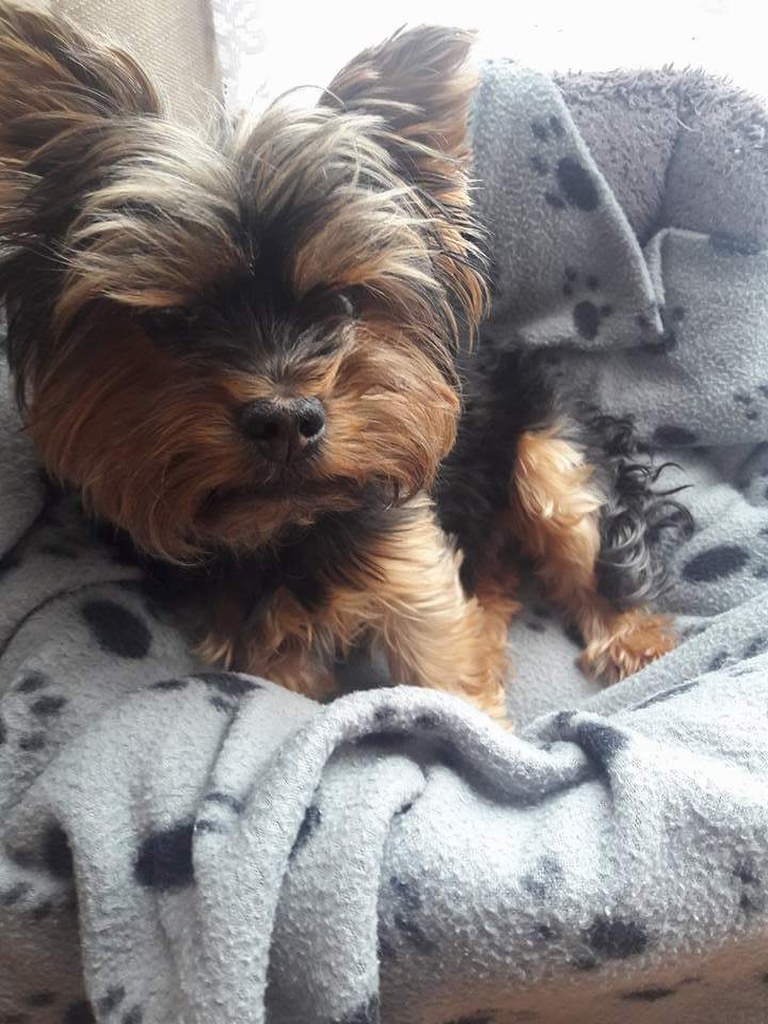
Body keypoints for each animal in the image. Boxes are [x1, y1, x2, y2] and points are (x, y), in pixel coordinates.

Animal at [0, 2, 691, 720]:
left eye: (341, 302)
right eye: (172, 321)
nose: (284, 419)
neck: (288, 524)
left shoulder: (416, 571)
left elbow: (447, 682)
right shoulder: (259, 636)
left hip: (547, 444)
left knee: (582, 534)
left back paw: (633, 640)